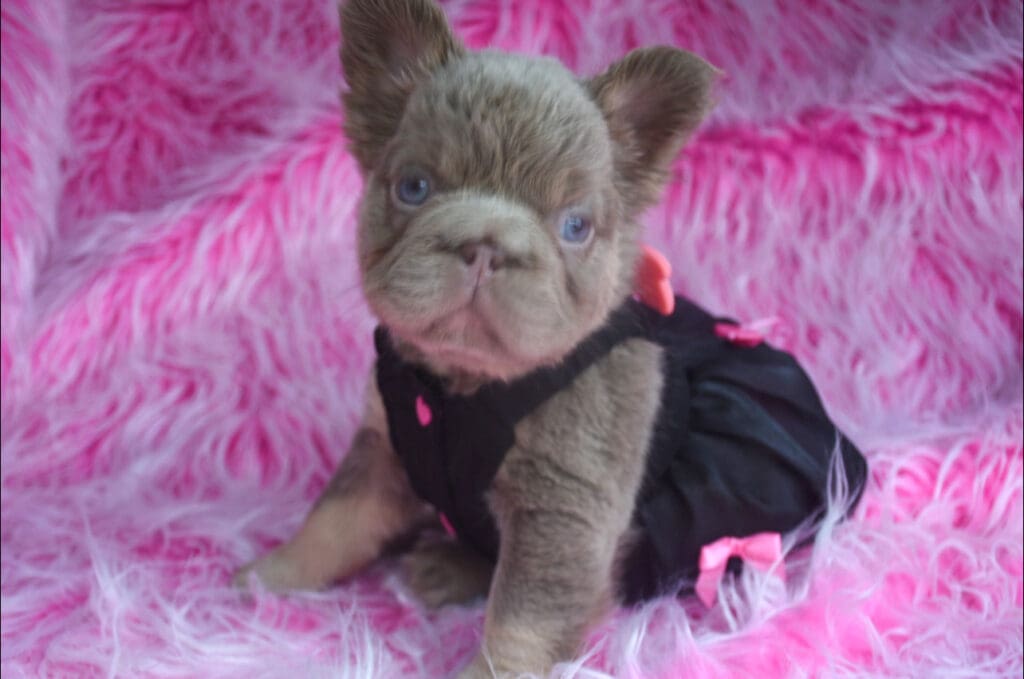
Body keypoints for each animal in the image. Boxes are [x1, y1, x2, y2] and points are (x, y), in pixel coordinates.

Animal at [236, 2, 716, 675]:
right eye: (414, 188)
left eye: (575, 226)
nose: (487, 247)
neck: (463, 387)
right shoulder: (381, 455)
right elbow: (332, 524)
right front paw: (270, 578)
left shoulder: (560, 516)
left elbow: (523, 620)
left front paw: (490, 671)